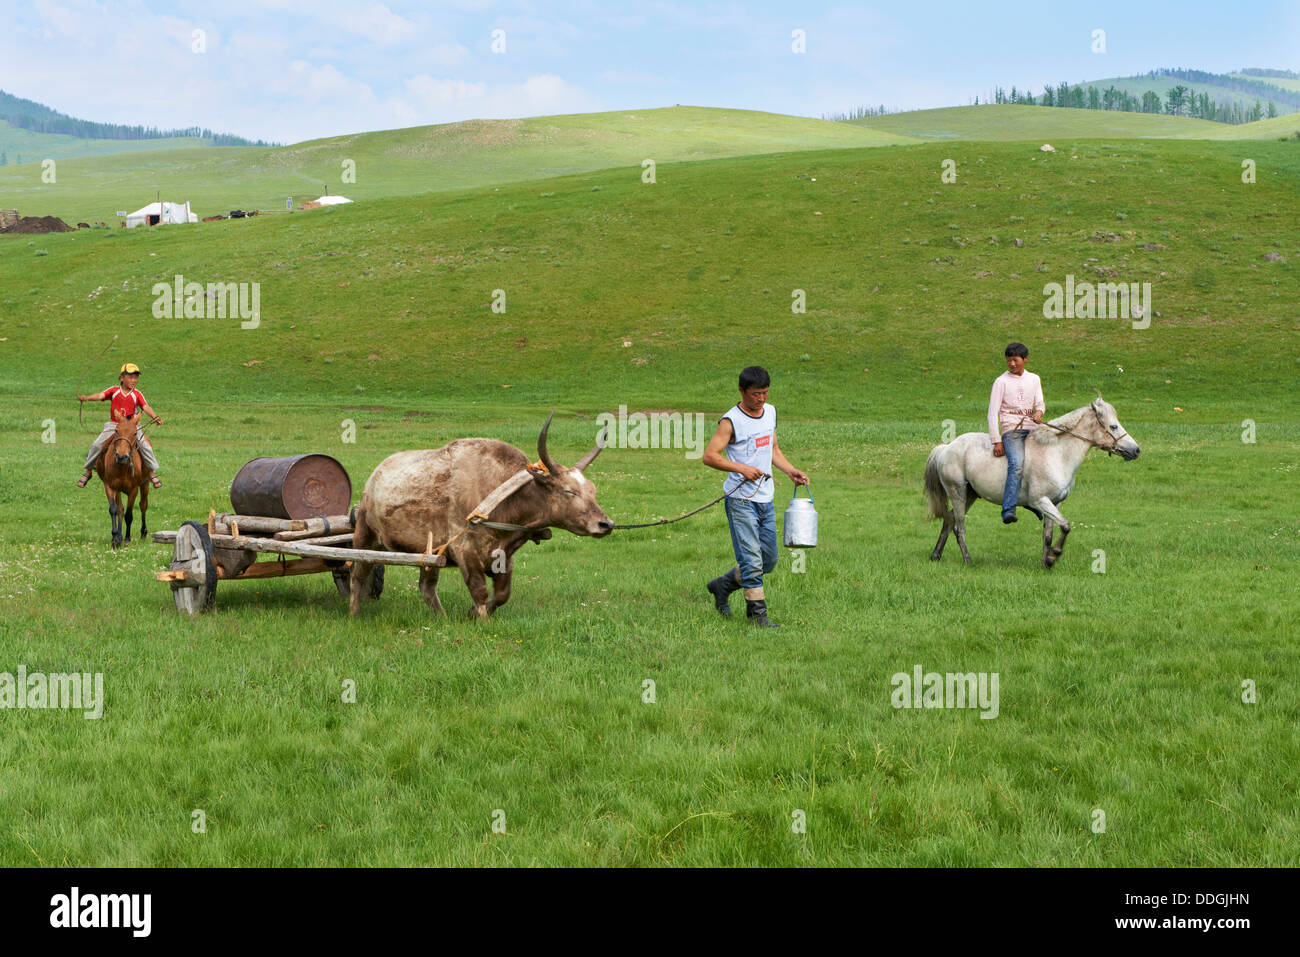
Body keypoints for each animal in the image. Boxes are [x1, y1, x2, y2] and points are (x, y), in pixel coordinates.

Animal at [95, 408, 151, 546]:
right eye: (116, 430)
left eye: (135, 433)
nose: (121, 456)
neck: (122, 467)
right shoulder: (110, 486)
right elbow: (114, 510)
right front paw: (115, 537)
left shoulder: (133, 490)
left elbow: (129, 515)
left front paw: (127, 539)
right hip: (119, 490)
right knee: (120, 508)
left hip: (145, 484)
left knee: (143, 505)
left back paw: (143, 533)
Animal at [925, 397, 1138, 566]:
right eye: (1113, 426)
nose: (1136, 450)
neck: (1057, 453)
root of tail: (946, 448)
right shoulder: (1040, 501)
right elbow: (1066, 525)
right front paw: (1055, 556)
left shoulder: (1054, 503)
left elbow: (1048, 535)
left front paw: (1046, 562)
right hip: (958, 492)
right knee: (958, 526)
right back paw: (968, 560)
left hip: (970, 495)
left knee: (949, 519)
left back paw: (936, 555)